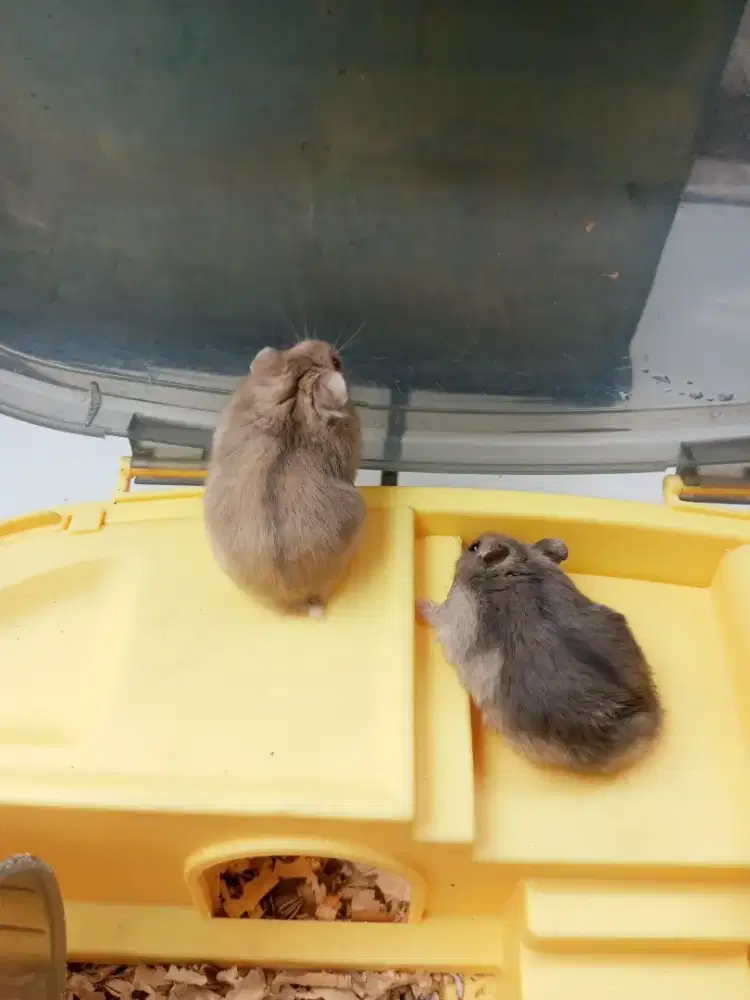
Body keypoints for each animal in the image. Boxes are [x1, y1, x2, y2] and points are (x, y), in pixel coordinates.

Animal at [418, 533, 663, 774]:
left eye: (474, 546)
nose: (471, 542)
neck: (512, 567)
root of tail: (647, 720)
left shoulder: (454, 616)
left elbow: (437, 615)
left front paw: (419, 603)